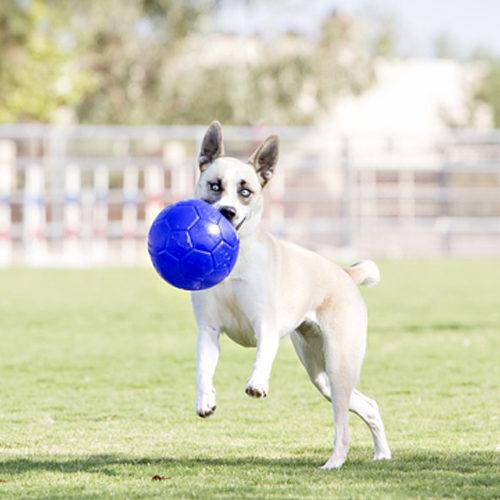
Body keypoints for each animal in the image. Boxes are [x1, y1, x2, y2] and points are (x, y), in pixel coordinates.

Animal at [190, 121, 390, 468]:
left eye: (245, 191)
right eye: (215, 185)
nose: (227, 212)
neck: (236, 259)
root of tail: (345, 274)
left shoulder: (265, 325)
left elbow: (263, 355)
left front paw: (257, 383)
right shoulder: (209, 330)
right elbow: (204, 367)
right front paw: (205, 400)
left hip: (339, 363)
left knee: (343, 426)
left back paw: (334, 463)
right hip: (319, 372)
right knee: (368, 405)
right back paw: (382, 453)